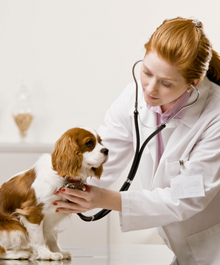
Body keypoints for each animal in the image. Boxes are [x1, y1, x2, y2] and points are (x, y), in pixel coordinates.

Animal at [0, 127, 108, 258]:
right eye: (89, 143)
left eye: (101, 141)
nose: (106, 150)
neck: (63, 176)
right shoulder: (33, 212)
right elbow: (39, 238)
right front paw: (46, 254)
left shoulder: (53, 215)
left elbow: (52, 236)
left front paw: (57, 251)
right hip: (15, 227)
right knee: (3, 251)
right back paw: (21, 253)